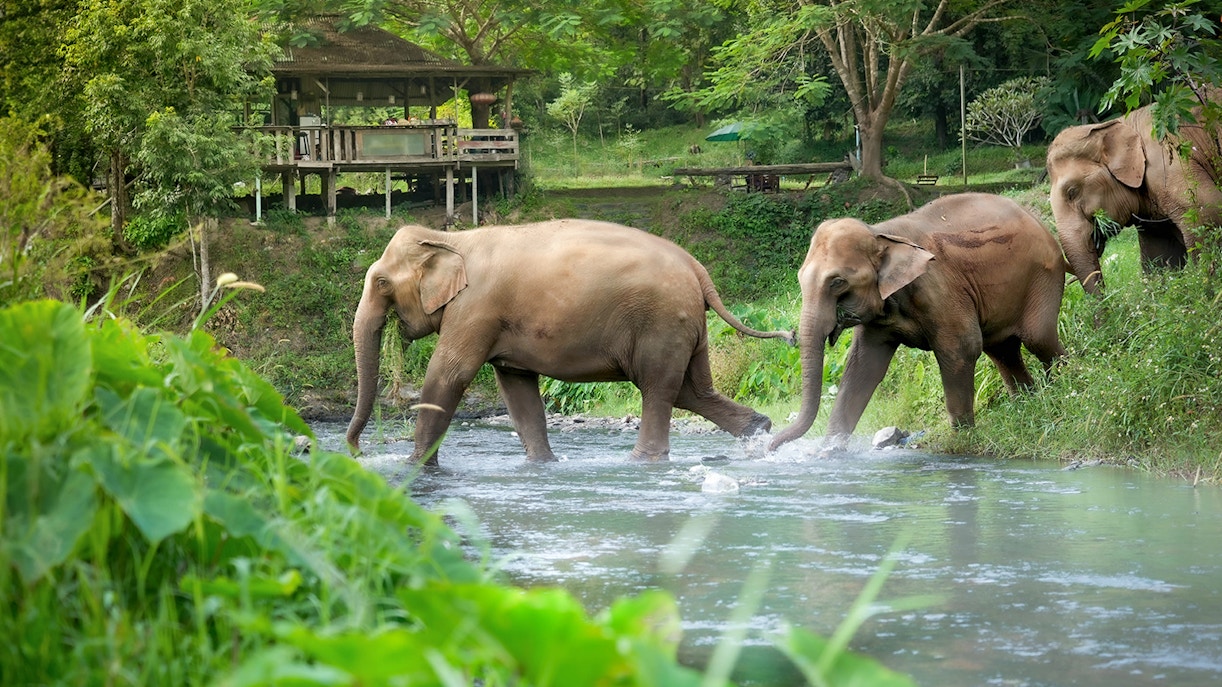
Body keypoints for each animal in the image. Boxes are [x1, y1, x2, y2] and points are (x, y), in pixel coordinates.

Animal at [346, 219, 795, 465]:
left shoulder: (476, 309)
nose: (356, 451)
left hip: (662, 322)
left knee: (658, 388)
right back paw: (759, 430)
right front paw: (543, 464)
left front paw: (414, 467)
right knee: (693, 389)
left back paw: (640, 462)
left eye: (382, 282)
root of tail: (698, 268)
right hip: (686, 324)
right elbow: (516, 387)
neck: (451, 238)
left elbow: (449, 374)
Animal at [769, 193, 1067, 452]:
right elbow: (863, 367)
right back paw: (1026, 403)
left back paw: (1062, 386)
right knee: (1002, 351)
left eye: (837, 282)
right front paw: (828, 452)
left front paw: (962, 442)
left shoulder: (938, 288)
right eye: (800, 278)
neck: (880, 234)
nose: (769, 446)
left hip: (1043, 276)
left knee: (1037, 339)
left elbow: (961, 349)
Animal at [1047, 92, 1222, 294]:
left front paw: (1208, 292)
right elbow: (1160, 255)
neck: (1122, 123)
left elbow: (1207, 215)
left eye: (1072, 192)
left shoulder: (1170, 169)